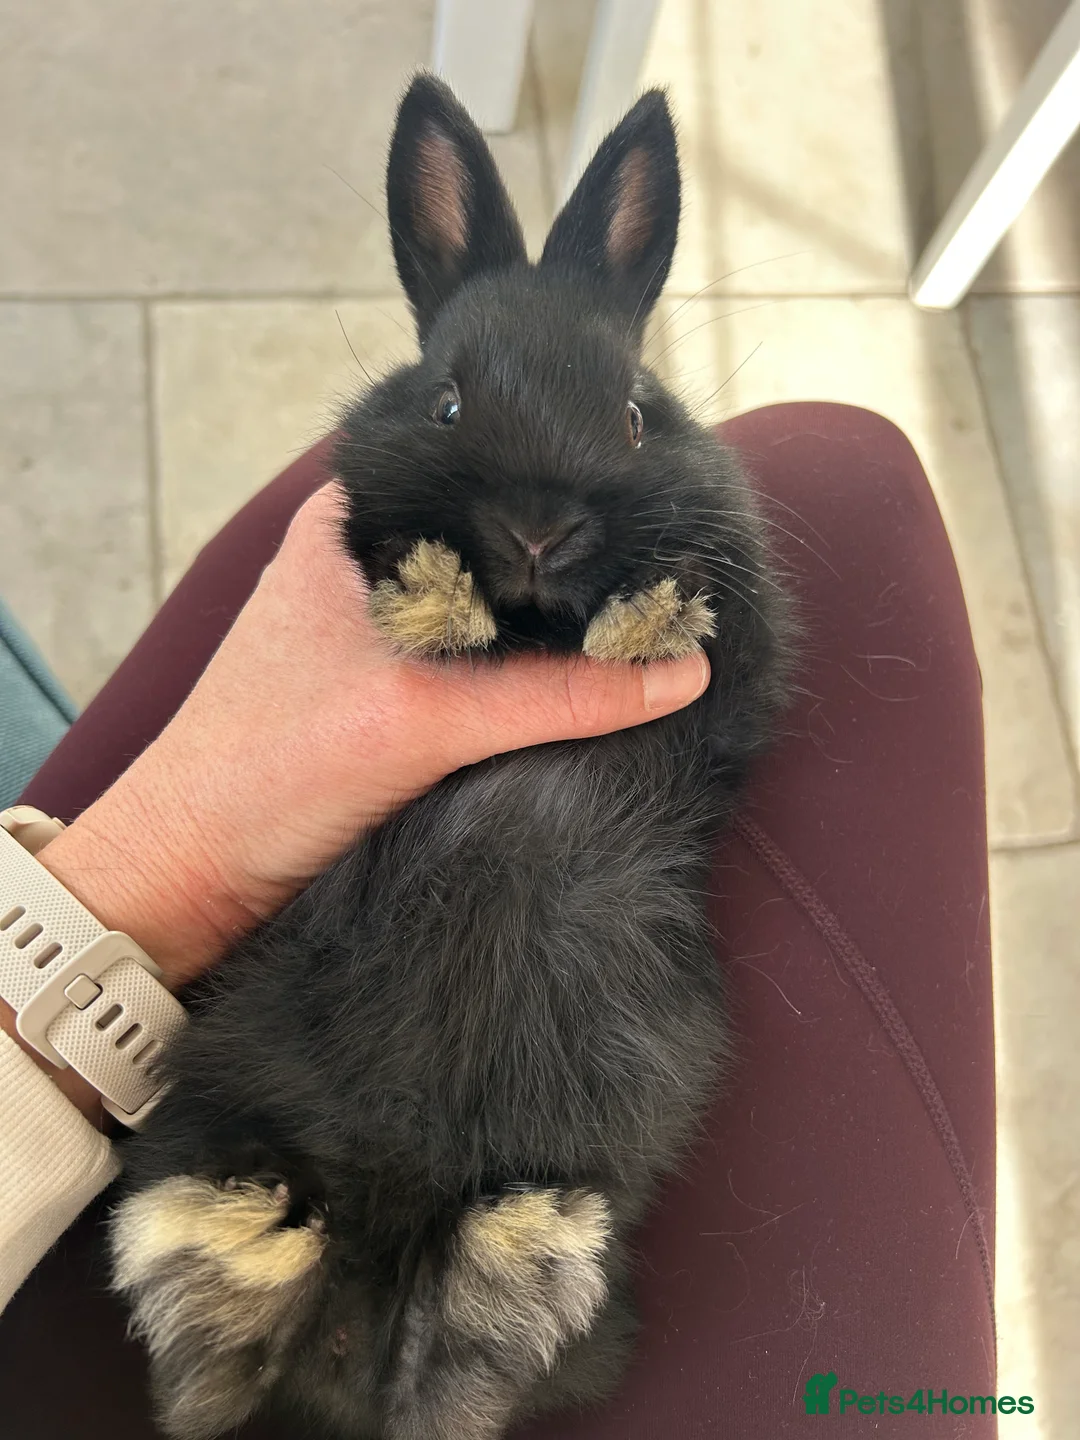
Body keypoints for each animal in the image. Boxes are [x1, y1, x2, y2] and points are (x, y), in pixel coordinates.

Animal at [109, 74, 792, 1440]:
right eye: (449, 403)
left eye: (635, 412)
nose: (537, 530)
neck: (535, 623)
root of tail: (345, 1346)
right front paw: (435, 593)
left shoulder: (741, 668)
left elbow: (703, 631)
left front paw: (643, 614)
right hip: (190, 1138)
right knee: (211, 1347)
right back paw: (254, 1235)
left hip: (573, 1237)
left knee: (461, 1356)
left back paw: (495, 1249)